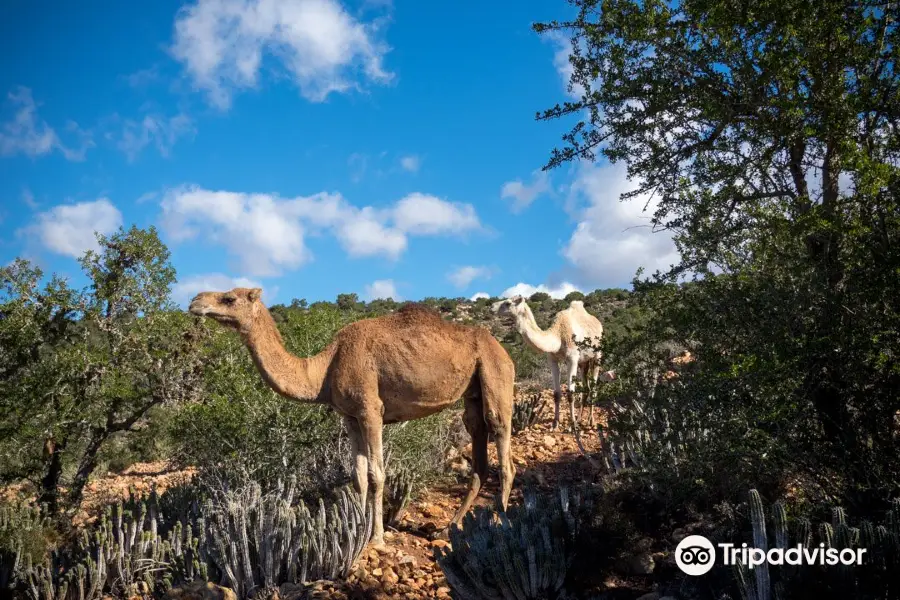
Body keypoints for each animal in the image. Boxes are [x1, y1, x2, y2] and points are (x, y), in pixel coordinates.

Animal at [186, 288, 516, 548]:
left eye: (229, 298)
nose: (195, 300)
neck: (325, 369)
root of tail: (502, 349)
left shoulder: (371, 410)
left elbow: (377, 473)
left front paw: (377, 538)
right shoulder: (350, 416)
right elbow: (357, 476)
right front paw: (357, 530)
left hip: (495, 373)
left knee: (501, 440)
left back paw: (501, 521)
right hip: (472, 392)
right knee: (478, 442)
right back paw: (450, 528)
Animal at [488, 296, 616, 432]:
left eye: (507, 303)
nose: (491, 307)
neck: (558, 336)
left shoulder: (572, 358)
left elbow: (570, 393)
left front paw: (572, 425)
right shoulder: (553, 360)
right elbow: (556, 393)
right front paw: (555, 424)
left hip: (597, 356)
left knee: (594, 388)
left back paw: (591, 422)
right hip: (583, 362)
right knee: (586, 388)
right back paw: (580, 420)